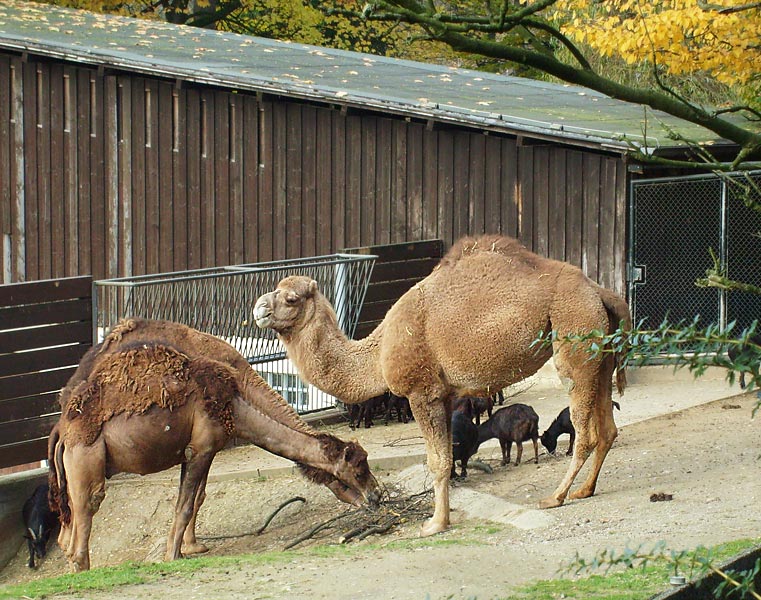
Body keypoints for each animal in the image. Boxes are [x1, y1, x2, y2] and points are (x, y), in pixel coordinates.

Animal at [47, 316, 380, 568]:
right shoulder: (202, 447)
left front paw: (190, 547)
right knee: (87, 505)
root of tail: (62, 426)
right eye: (359, 469)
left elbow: (196, 498)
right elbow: (185, 505)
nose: (377, 495)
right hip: (86, 455)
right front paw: (174, 555)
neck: (236, 402)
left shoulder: (200, 449)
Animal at [255, 233, 628, 536]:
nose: (258, 309)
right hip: (601, 351)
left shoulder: (422, 392)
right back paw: (584, 490)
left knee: (586, 430)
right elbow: (448, 457)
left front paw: (435, 524)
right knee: (608, 428)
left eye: (290, 298)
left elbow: (437, 461)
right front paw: (442, 517)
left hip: (575, 338)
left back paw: (556, 496)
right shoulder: (447, 395)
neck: (378, 350)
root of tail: (600, 291)